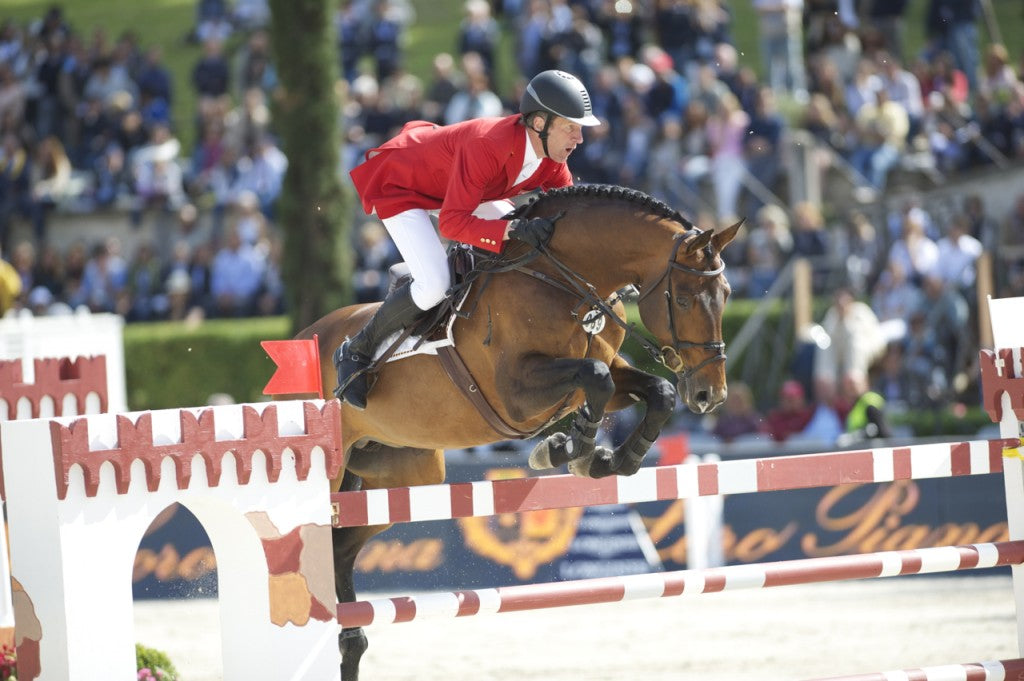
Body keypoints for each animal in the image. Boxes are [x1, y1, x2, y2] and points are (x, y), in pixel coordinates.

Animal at [288, 183, 737, 675]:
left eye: (727, 294)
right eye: (684, 300)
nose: (710, 395)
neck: (563, 279)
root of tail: (305, 337)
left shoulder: (604, 372)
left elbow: (656, 390)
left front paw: (609, 459)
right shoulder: (517, 393)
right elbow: (595, 376)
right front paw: (567, 449)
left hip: (404, 474)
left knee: (340, 549)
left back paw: (350, 643)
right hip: (329, 470)